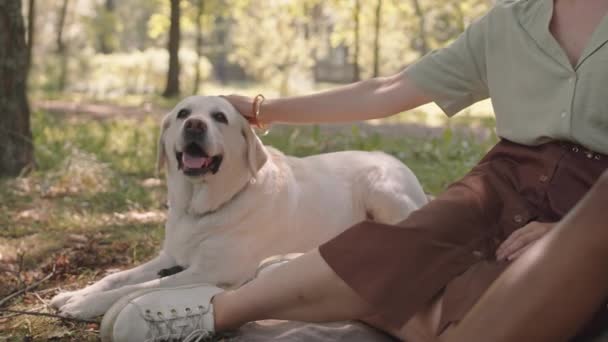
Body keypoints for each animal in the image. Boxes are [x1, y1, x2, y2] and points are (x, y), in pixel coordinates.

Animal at [51, 95, 428, 318]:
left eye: (220, 116)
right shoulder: (170, 257)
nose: (194, 125)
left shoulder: (209, 271)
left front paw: (83, 304)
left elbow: (136, 288)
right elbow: (117, 277)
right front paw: (74, 293)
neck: (201, 208)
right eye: (183, 114)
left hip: (381, 188)